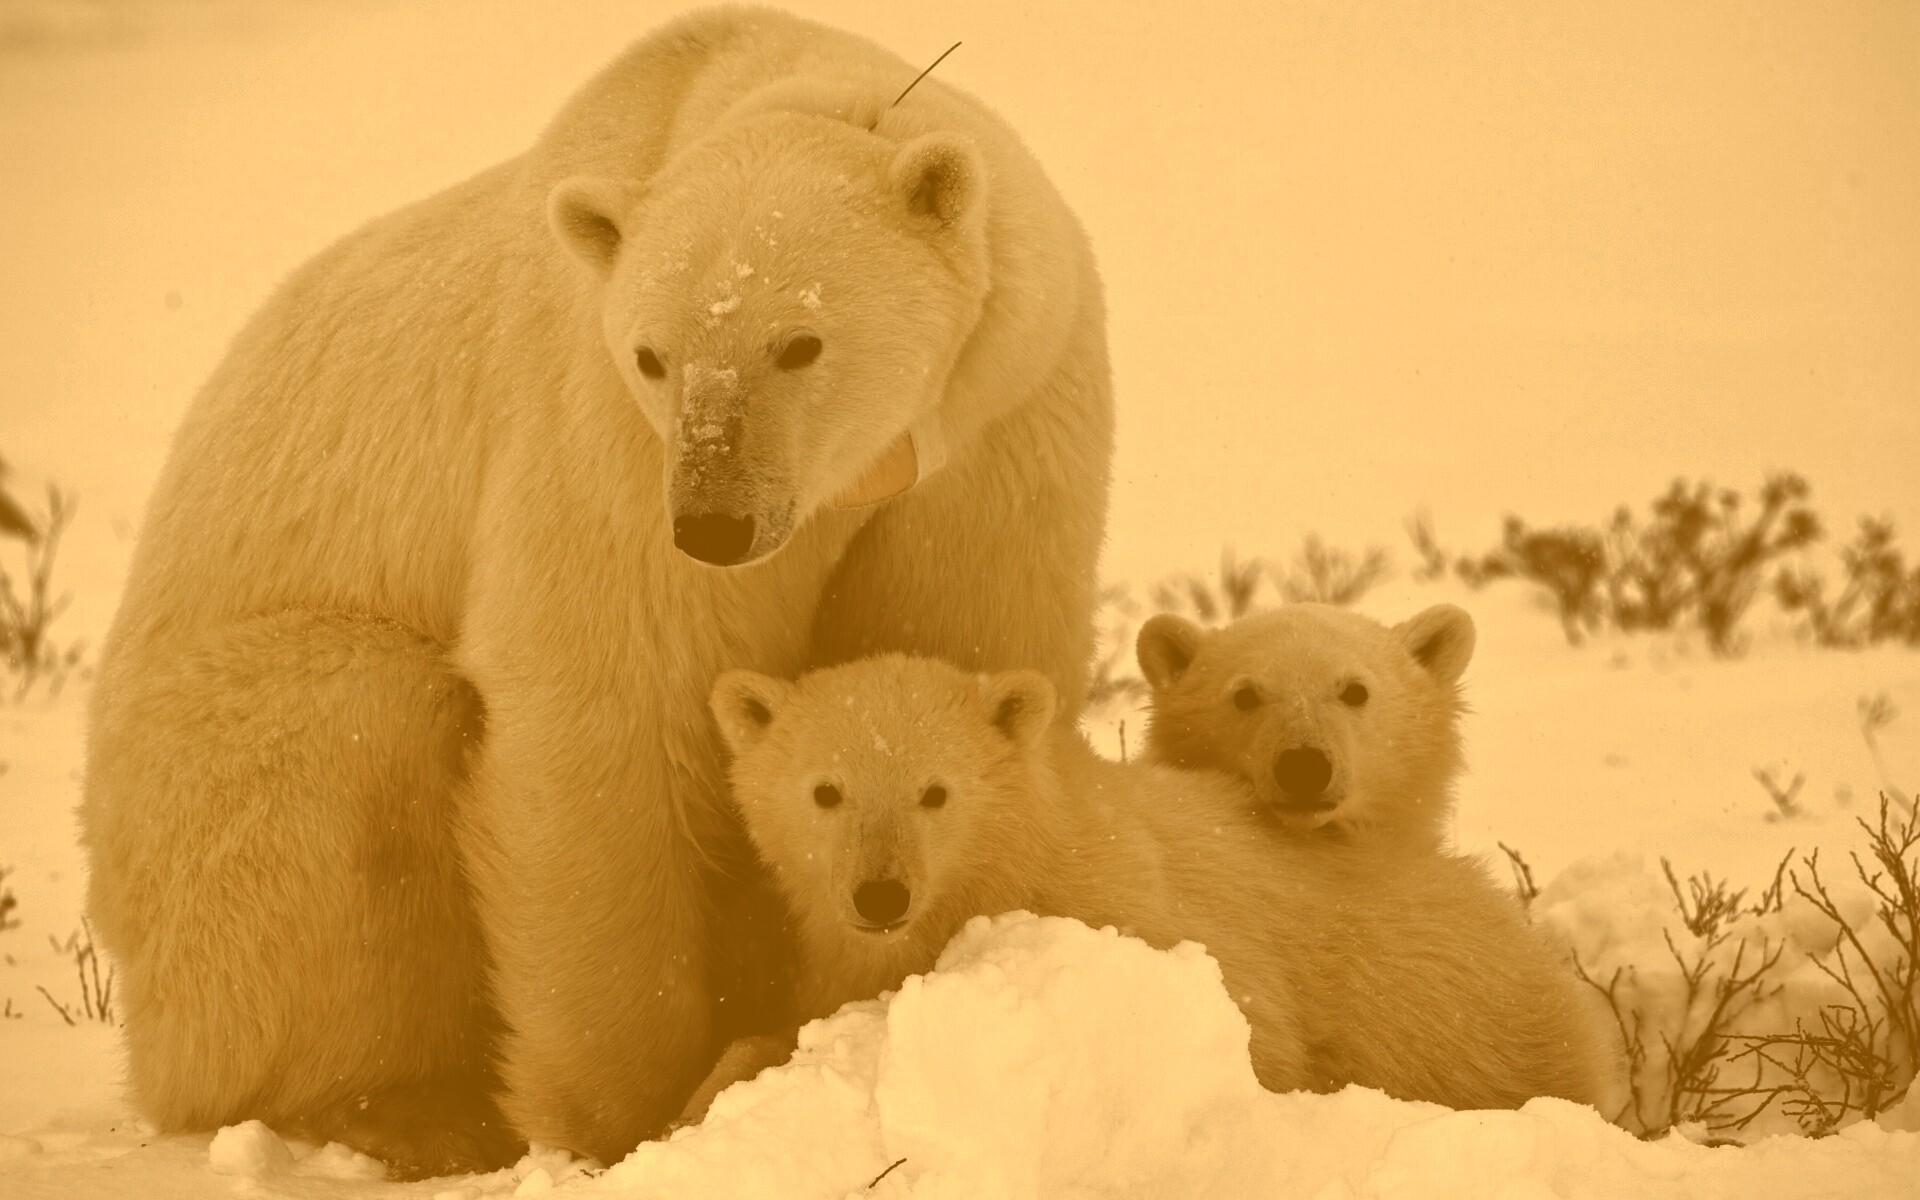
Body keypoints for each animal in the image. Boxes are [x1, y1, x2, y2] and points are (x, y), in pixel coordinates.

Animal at [82, 4, 1113, 1175]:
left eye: (800, 341)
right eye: (655, 354)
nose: (713, 524)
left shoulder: (997, 423)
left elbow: (954, 646)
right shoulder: (601, 431)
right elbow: (606, 703)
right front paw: (636, 1112)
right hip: (196, 806)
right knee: (353, 742)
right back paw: (410, 1108)